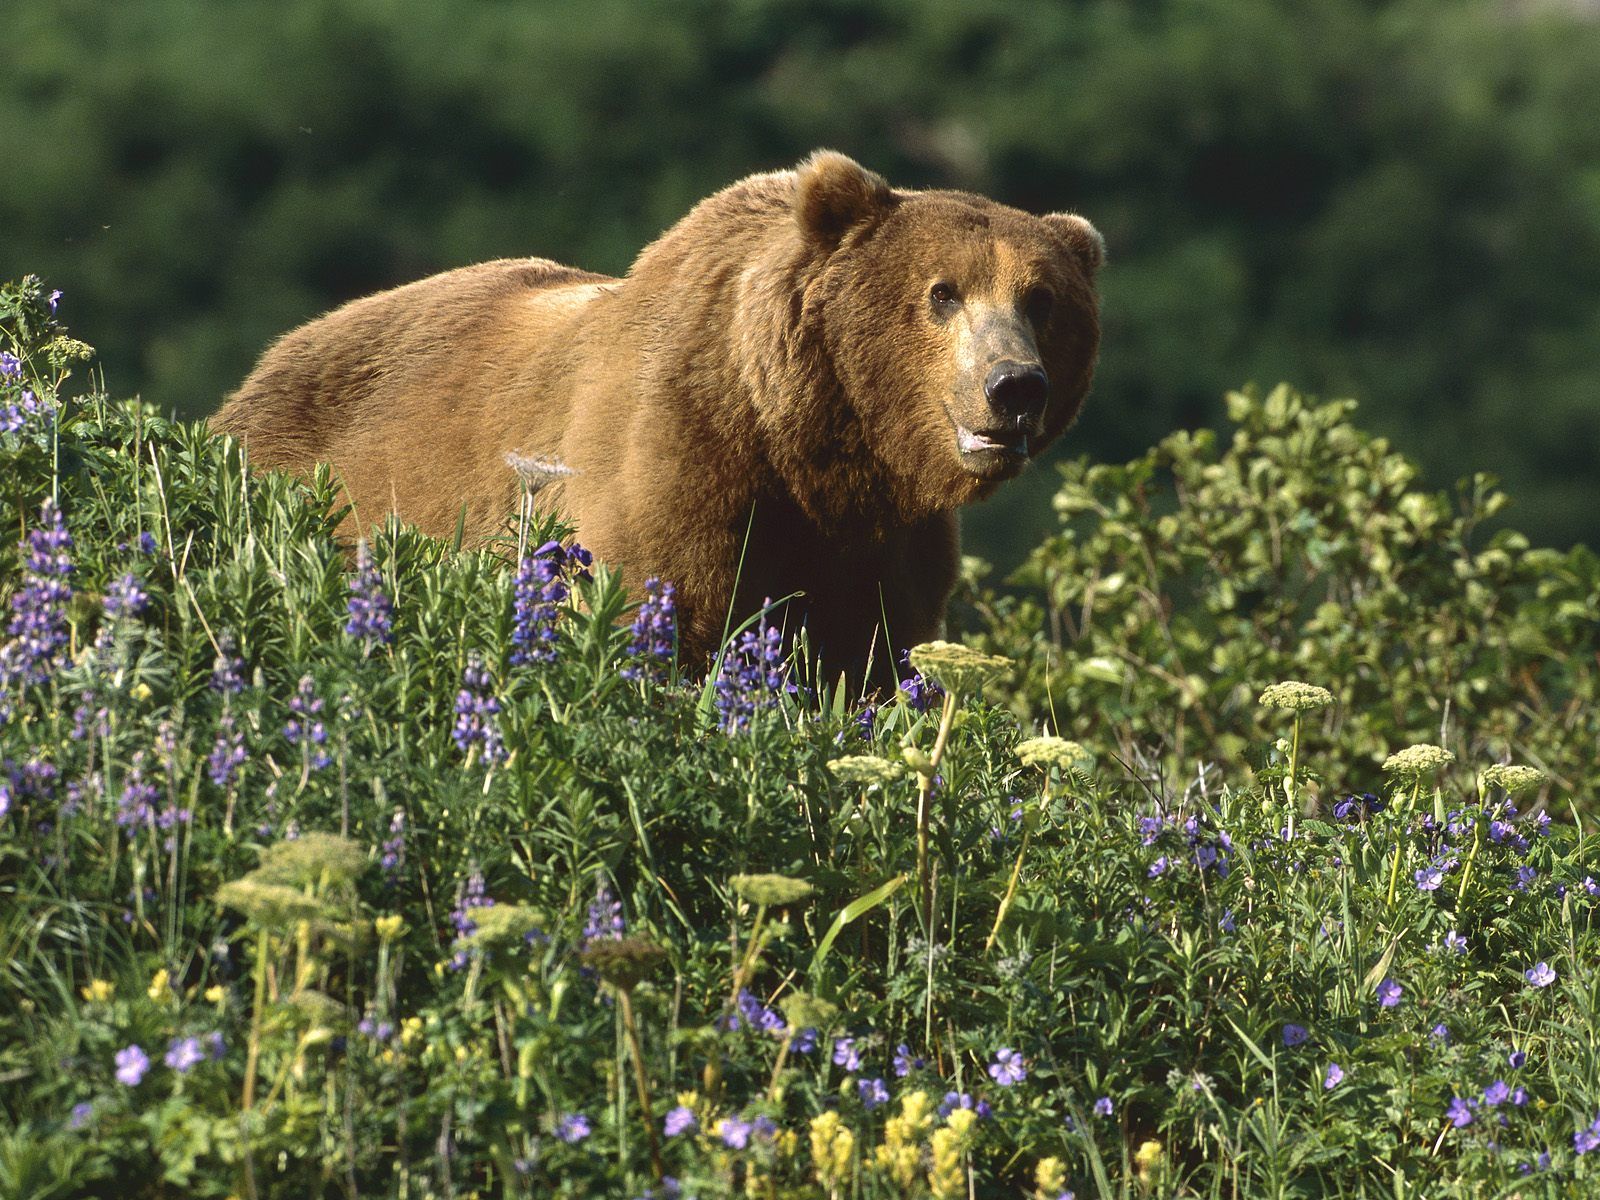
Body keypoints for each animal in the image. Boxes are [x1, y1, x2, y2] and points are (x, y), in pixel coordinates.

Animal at [213, 151, 1103, 689]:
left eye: (1041, 300)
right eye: (942, 292)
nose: (1013, 385)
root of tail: (266, 363)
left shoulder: (882, 540)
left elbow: (876, 660)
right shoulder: (677, 458)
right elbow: (653, 612)